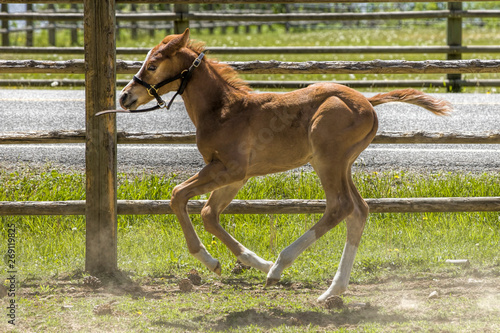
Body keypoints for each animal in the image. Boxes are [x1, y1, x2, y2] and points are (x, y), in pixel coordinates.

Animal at [119, 28, 452, 300]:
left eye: (152, 65)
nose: (124, 97)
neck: (224, 110)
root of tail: (367, 103)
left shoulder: (231, 169)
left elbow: (178, 196)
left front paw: (210, 260)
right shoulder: (236, 176)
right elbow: (209, 214)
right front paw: (250, 261)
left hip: (327, 160)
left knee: (340, 207)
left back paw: (279, 267)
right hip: (343, 164)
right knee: (359, 211)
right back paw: (332, 289)